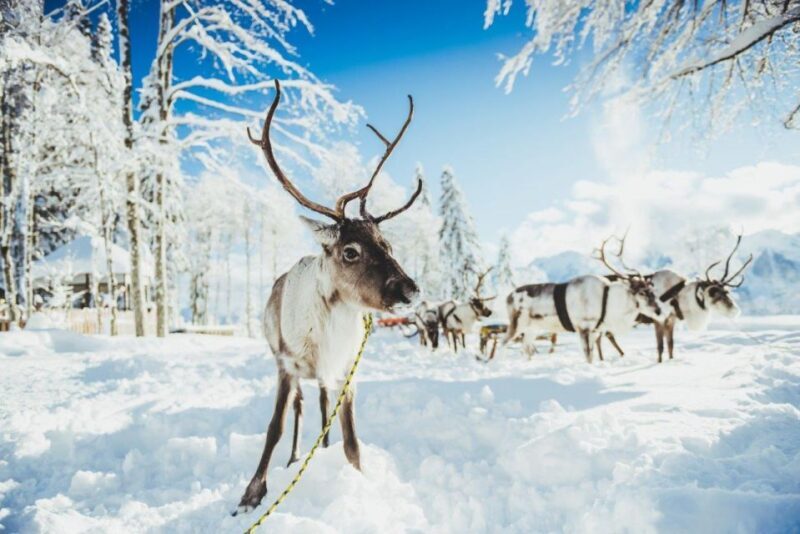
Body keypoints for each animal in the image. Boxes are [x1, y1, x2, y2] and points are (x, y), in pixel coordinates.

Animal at [234, 80, 422, 515]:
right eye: (349, 251)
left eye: (387, 243)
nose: (410, 288)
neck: (327, 331)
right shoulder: (286, 365)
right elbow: (274, 427)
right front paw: (252, 494)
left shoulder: (347, 369)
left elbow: (352, 440)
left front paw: (358, 483)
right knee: (302, 408)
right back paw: (294, 458)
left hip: (327, 376)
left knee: (322, 409)